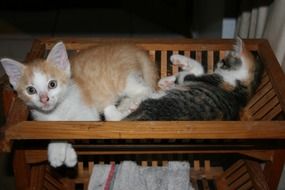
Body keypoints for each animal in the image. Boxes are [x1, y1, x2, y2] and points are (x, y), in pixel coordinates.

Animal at [0, 41, 158, 166]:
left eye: (52, 84)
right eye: (31, 90)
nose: (44, 99)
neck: (58, 111)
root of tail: (134, 49)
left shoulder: (86, 115)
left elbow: (73, 129)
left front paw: (60, 152)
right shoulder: (46, 124)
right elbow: (55, 131)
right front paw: (61, 152)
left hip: (123, 78)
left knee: (146, 90)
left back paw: (132, 103)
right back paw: (123, 107)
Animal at [104, 38, 262, 121]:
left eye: (223, 61)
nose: (217, 64)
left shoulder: (209, 78)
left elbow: (194, 69)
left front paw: (176, 59)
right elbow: (183, 75)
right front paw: (165, 81)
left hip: (153, 102)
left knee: (115, 117)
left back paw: (124, 105)